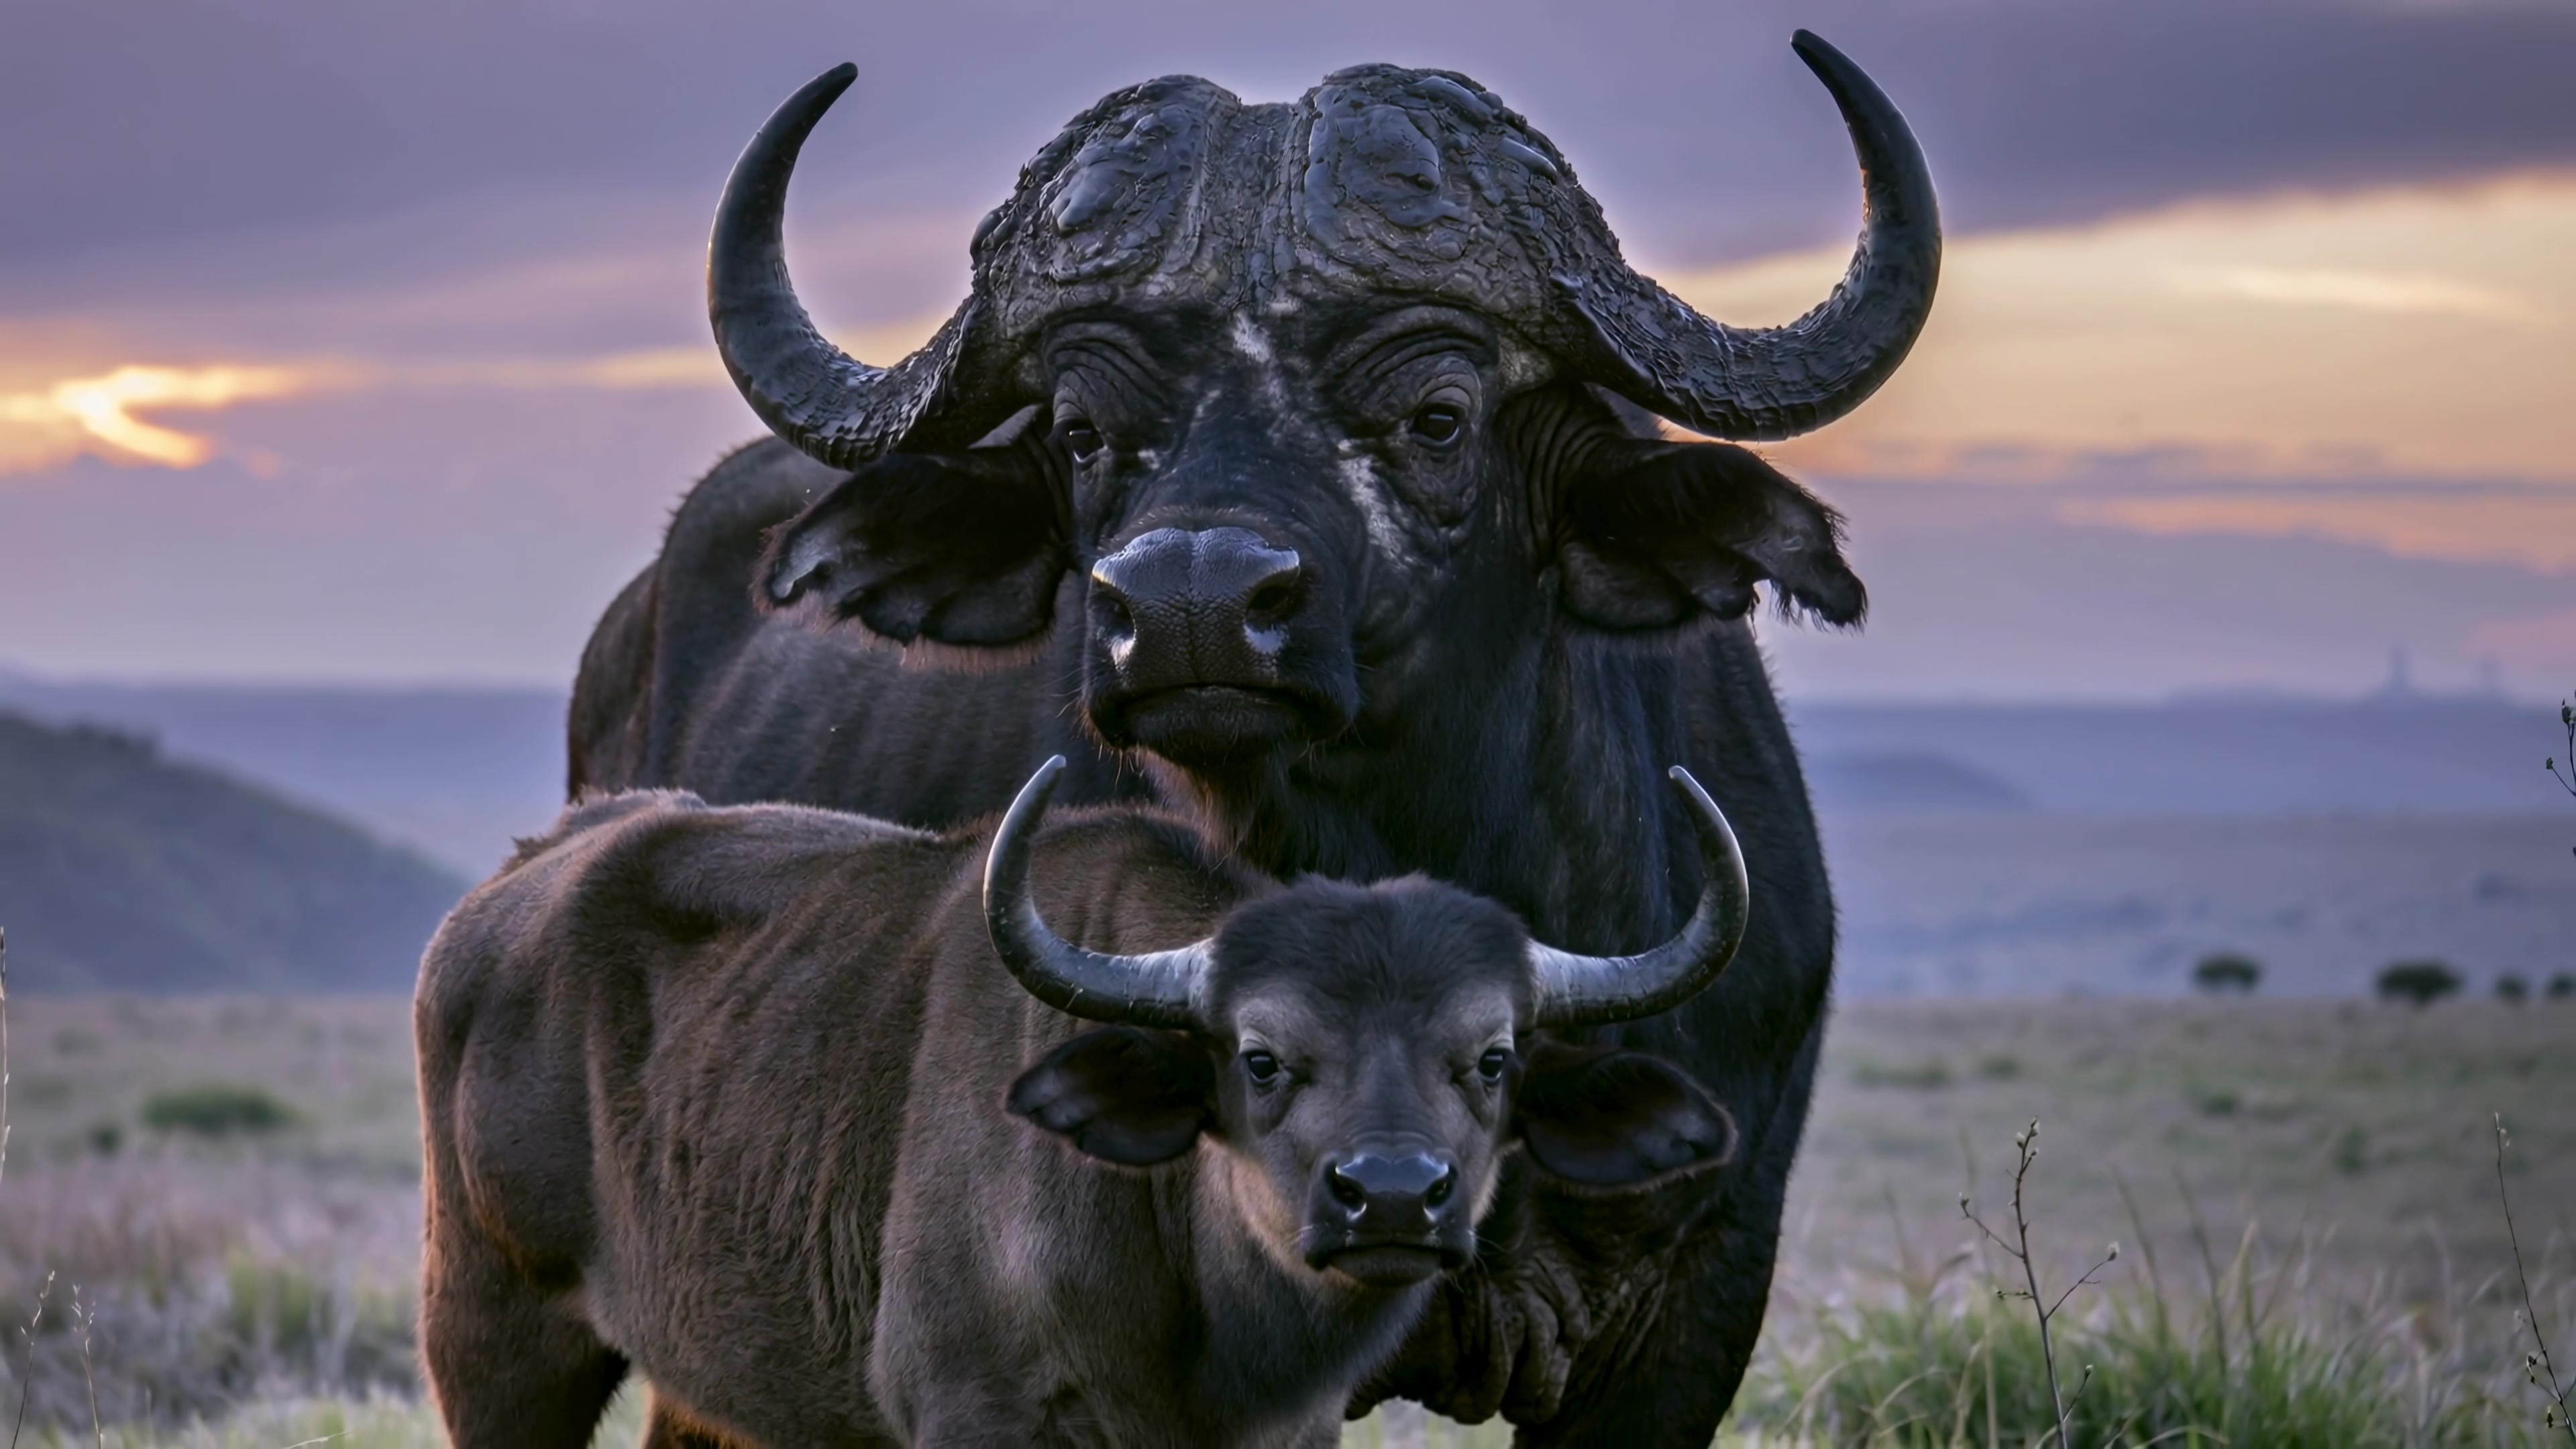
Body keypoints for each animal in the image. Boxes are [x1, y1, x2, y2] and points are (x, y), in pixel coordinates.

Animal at [416, 761, 1747, 1446]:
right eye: (1261, 1056)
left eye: (1493, 1057)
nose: (1390, 1198)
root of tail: (517, 883)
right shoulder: (972, 1412)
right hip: (491, 1341)